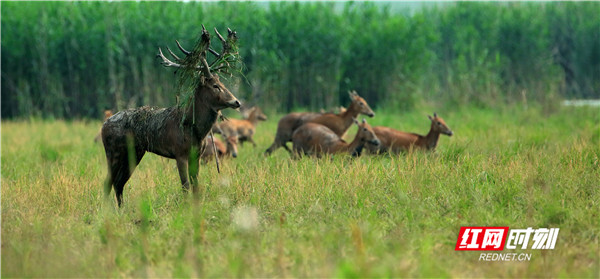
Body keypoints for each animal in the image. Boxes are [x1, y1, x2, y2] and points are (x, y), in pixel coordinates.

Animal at [101, 25, 241, 208]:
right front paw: (186, 208)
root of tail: (103, 125)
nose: (236, 101)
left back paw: (121, 209)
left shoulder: (197, 155)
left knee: (119, 183)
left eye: (223, 83)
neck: (195, 130)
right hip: (113, 151)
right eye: (215, 86)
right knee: (108, 182)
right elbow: (185, 185)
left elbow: (196, 185)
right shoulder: (179, 152)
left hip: (134, 152)